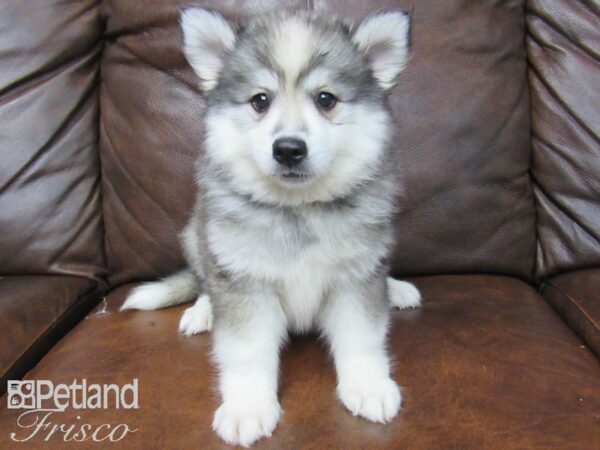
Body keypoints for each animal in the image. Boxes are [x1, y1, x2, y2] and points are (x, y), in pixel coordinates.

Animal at [120, 7, 422, 446]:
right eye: (259, 100)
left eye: (326, 99)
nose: (289, 149)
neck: (297, 208)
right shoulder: (245, 283)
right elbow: (247, 351)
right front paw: (247, 408)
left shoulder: (355, 278)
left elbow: (361, 337)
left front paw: (368, 385)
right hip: (198, 236)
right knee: (205, 280)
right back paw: (202, 311)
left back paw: (395, 289)